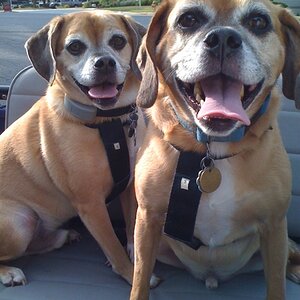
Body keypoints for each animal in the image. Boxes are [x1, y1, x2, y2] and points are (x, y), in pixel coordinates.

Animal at [0, 11, 145, 288]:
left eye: (118, 41)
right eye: (75, 47)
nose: (105, 63)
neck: (106, 122)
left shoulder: (128, 186)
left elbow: (132, 227)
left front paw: (136, 255)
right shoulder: (91, 204)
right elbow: (113, 245)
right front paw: (132, 274)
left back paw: (62, 237)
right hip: (19, 223)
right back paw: (9, 272)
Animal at [130, 0, 300, 300]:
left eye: (258, 22)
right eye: (188, 19)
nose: (223, 39)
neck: (212, 152)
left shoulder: (274, 225)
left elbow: (276, 285)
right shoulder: (148, 220)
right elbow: (139, 281)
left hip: (282, 241)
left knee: (291, 256)